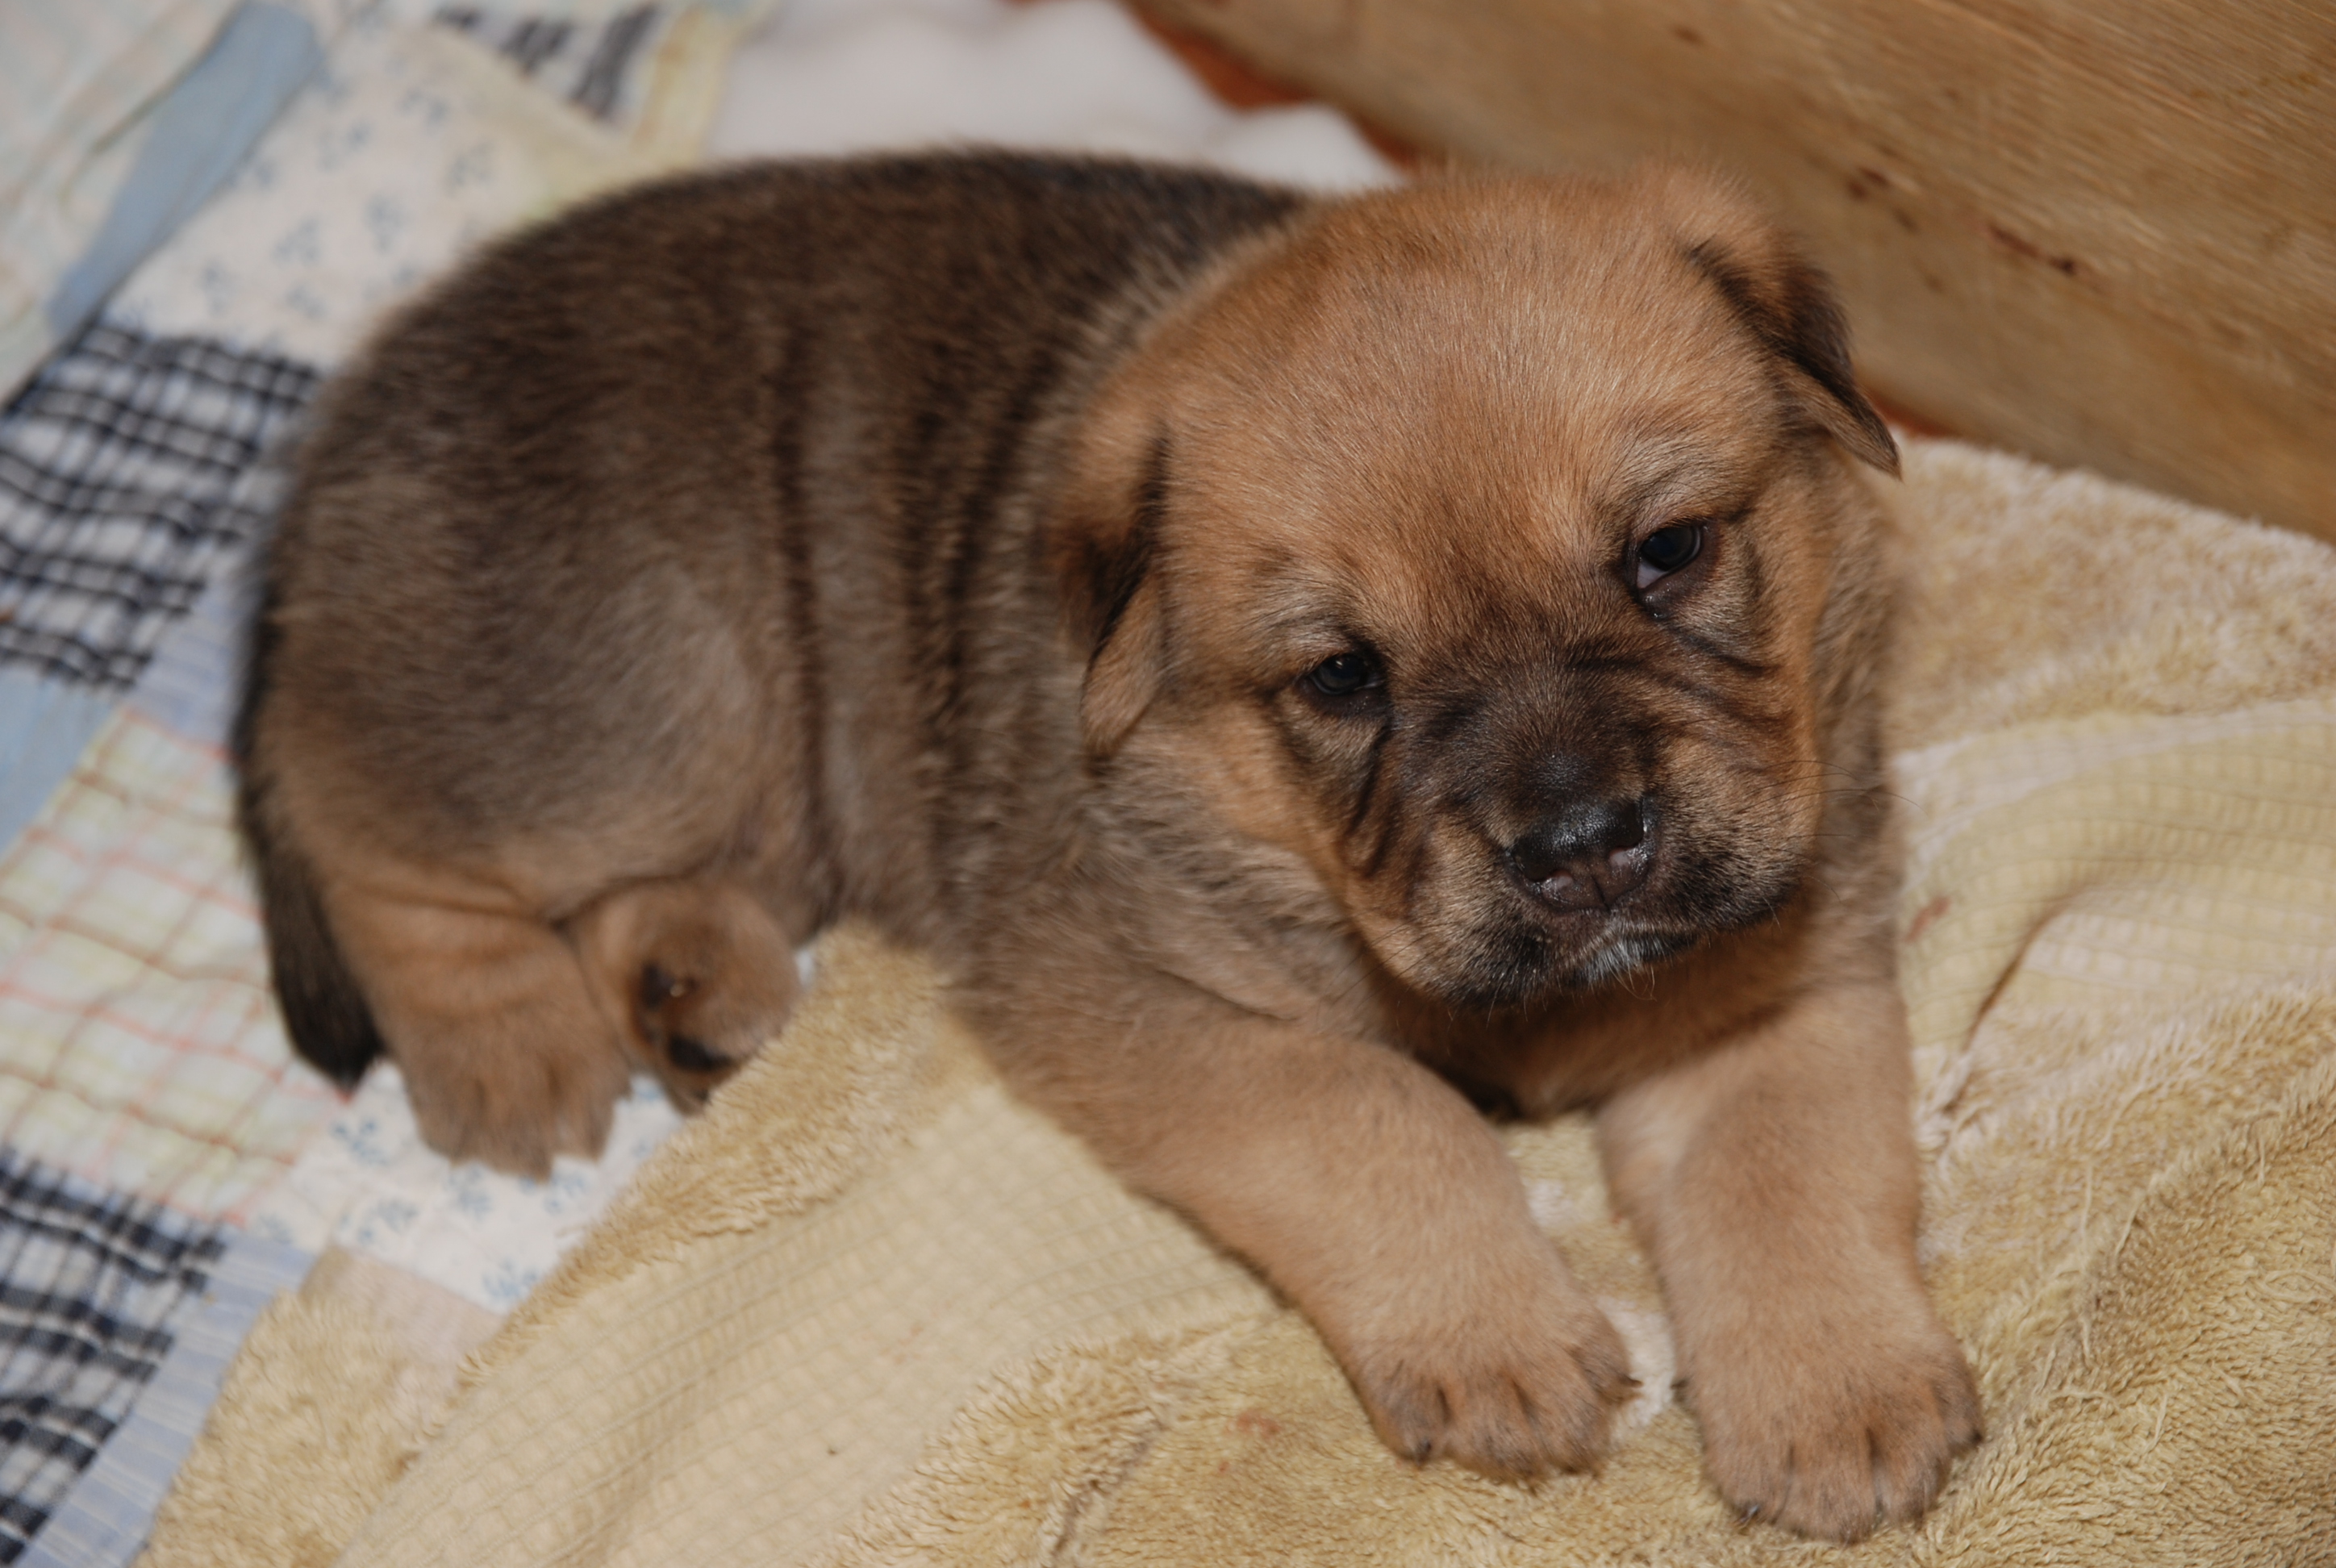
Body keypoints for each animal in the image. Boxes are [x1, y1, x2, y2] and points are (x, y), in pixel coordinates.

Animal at [237, 152, 1981, 1541]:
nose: (1583, 846)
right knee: (357, 810)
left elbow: (1787, 1167)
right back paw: (510, 1048)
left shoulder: (1761, 979)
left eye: (1667, 551)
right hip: (657, 701)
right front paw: (1495, 1331)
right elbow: (1377, 1120)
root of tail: (342, 444)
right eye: (1342, 676)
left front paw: (1836, 1398)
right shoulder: (1138, 995)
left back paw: (692, 989)